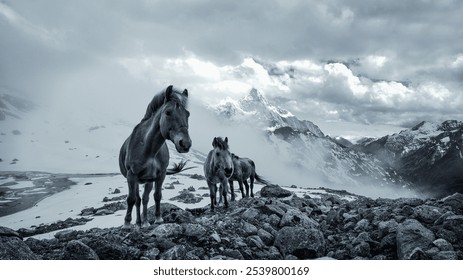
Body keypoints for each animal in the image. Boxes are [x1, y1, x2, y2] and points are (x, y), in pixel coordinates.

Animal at [120, 85, 193, 228]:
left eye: (187, 114)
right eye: (168, 112)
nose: (185, 144)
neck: (149, 149)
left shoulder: (161, 175)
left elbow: (157, 195)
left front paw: (158, 219)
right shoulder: (132, 175)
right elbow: (131, 199)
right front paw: (126, 224)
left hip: (148, 181)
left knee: (144, 199)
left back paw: (145, 222)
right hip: (136, 181)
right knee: (137, 200)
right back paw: (138, 223)